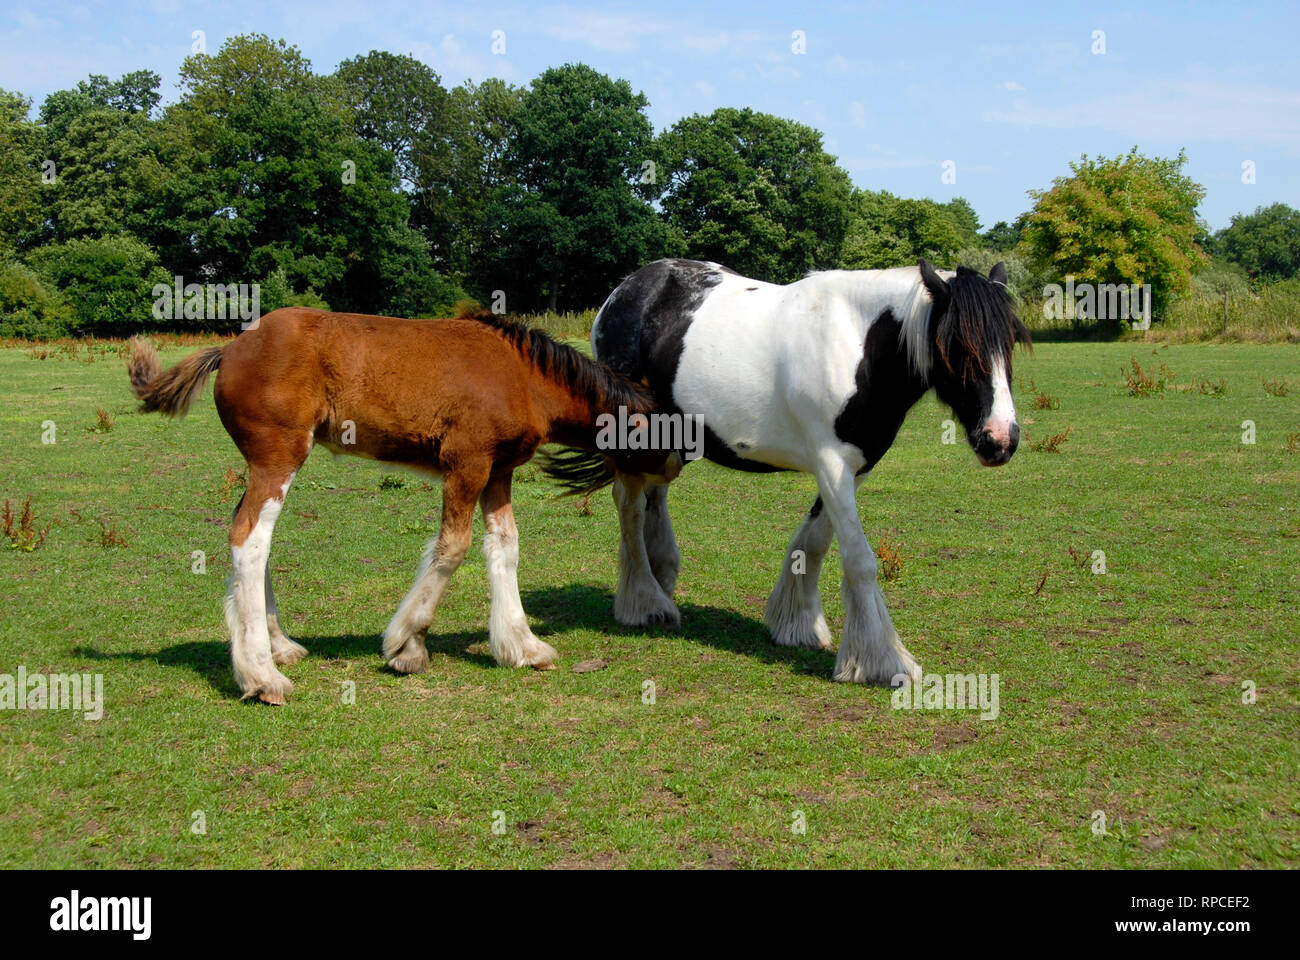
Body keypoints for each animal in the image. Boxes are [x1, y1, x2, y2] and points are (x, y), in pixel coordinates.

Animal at [128, 307, 677, 704]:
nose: (671, 471)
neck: (521, 375)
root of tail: (230, 348)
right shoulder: (466, 463)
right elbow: (452, 548)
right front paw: (407, 645)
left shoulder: (498, 471)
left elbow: (505, 546)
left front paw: (522, 646)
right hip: (277, 458)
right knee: (249, 539)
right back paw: (261, 676)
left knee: (251, 538)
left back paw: (278, 648)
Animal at [543, 258, 1030, 686]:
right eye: (957, 346)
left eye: (1009, 343)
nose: (1001, 439)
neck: (860, 345)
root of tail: (624, 291)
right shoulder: (831, 463)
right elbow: (859, 561)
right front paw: (880, 661)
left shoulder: (854, 467)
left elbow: (813, 543)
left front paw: (795, 624)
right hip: (630, 437)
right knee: (628, 505)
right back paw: (644, 602)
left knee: (652, 500)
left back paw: (660, 579)